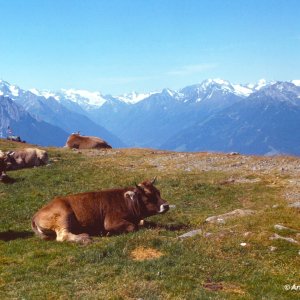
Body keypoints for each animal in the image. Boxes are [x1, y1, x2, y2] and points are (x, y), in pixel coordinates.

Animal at [32, 178, 171, 244]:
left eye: (158, 192)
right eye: (149, 196)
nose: (166, 205)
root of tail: (36, 215)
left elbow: (143, 223)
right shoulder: (111, 222)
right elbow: (132, 227)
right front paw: (109, 233)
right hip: (63, 215)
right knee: (62, 236)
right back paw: (85, 238)